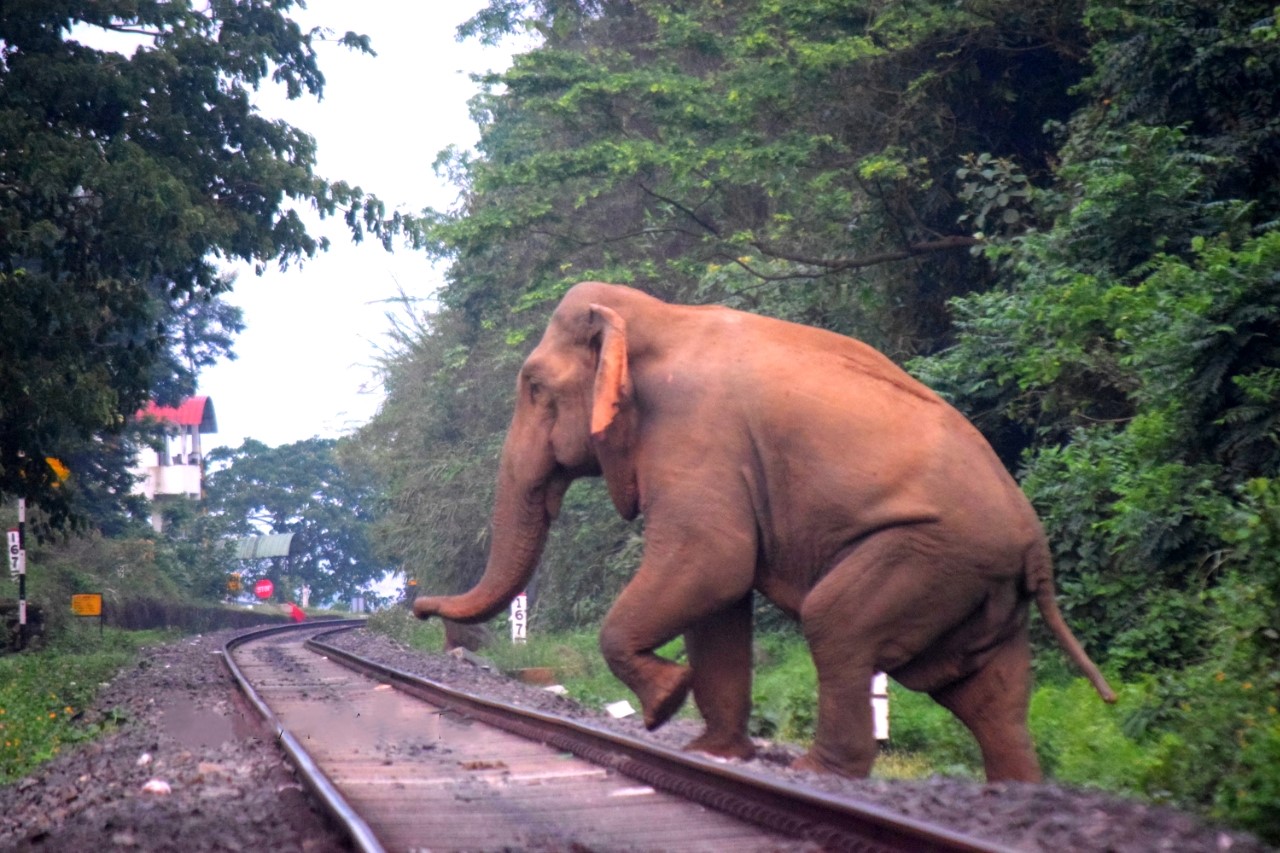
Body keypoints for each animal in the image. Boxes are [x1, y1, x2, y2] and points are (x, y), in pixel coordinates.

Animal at [414, 281, 1116, 778]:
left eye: (534, 387)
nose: (418, 605)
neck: (656, 316)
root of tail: (1035, 545)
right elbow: (719, 599)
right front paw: (711, 751)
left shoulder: (698, 436)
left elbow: (712, 562)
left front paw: (664, 703)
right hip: (980, 585)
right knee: (985, 694)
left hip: (933, 554)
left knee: (839, 623)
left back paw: (815, 771)